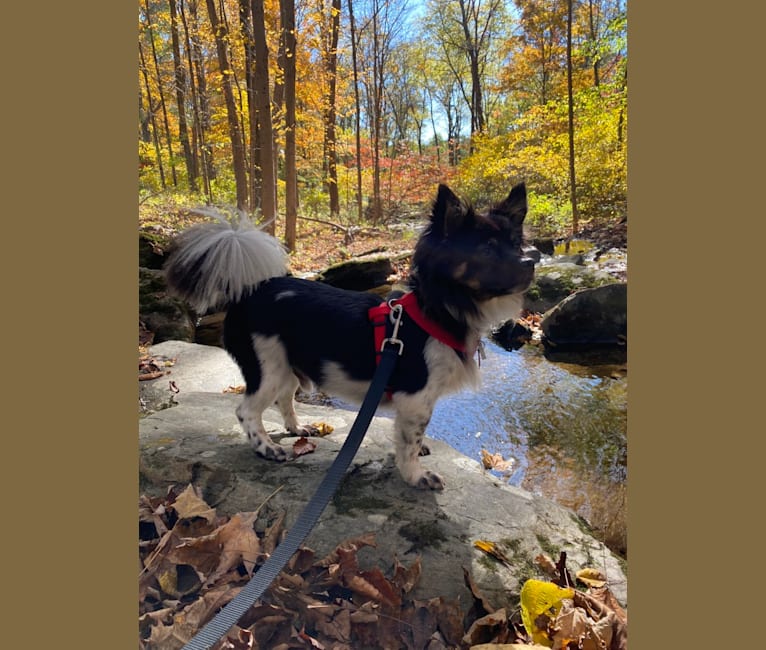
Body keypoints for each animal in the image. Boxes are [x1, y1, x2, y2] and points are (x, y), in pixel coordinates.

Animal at [166, 182, 544, 486]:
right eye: (486, 249)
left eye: (516, 243)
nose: (531, 261)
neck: (438, 310)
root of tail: (249, 292)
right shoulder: (416, 397)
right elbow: (408, 441)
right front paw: (414, 477)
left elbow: (409, 436)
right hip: (267, 368)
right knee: (247, 411)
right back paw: (267, 448)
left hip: (287, 366)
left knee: (284, 398)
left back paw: (296, 429)